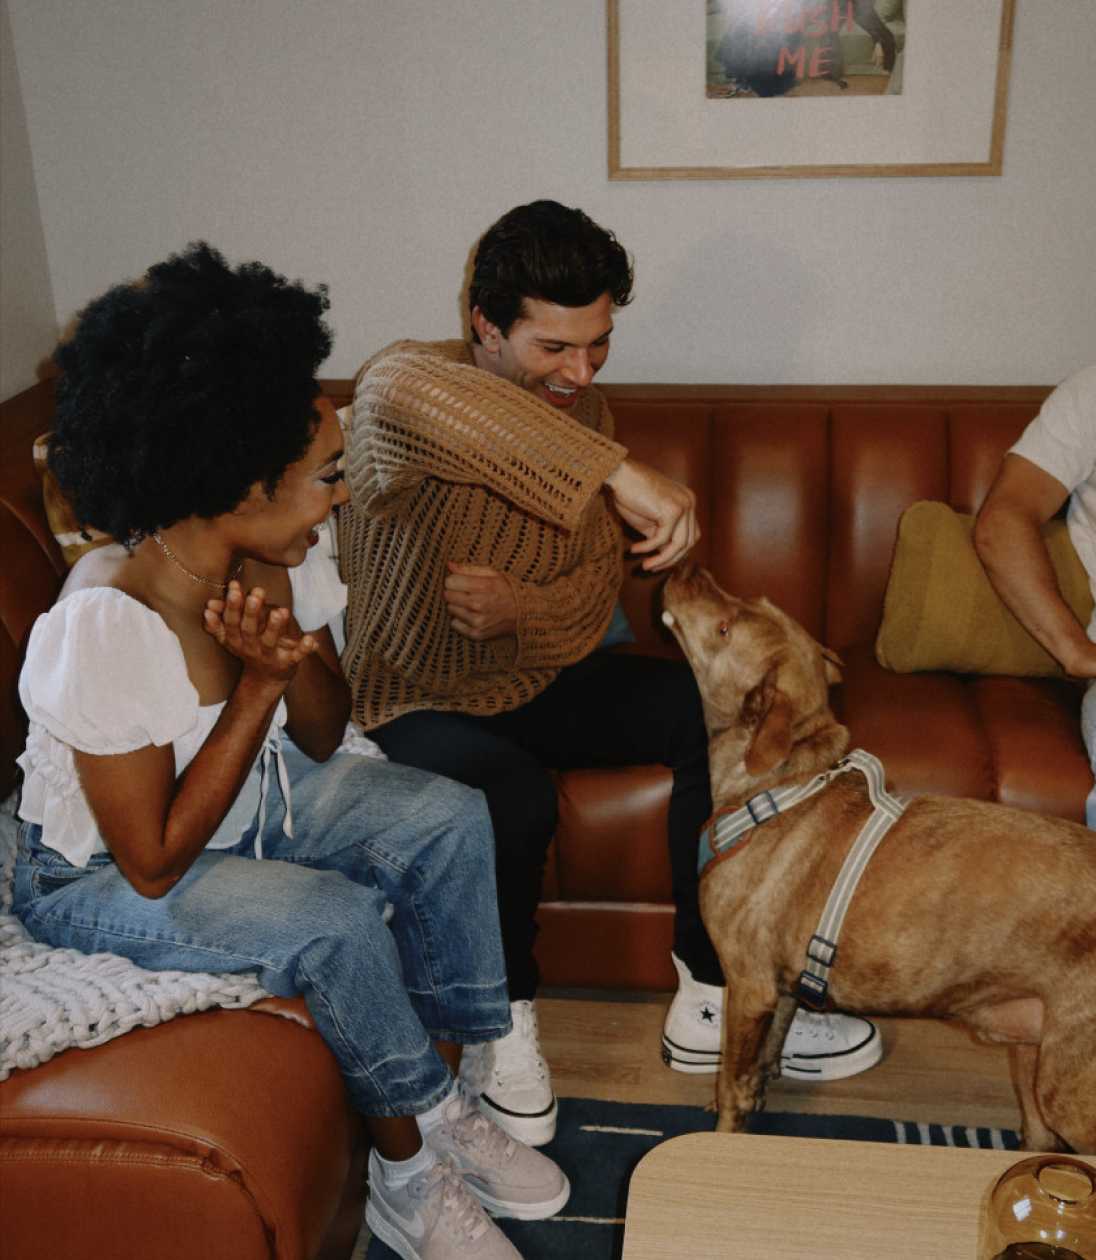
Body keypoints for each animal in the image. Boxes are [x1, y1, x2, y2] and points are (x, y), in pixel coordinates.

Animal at [660, 561, 1096, 1154]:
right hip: (1034, 1052)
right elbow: (763, 1058)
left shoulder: (748, 986)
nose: (687, 565)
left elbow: (732, 1078)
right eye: (752, 599)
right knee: (1036, 1136)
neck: (780, 781)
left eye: (726, 629)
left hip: (1068, 1084)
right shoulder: (780, 988)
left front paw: (724, 1135)